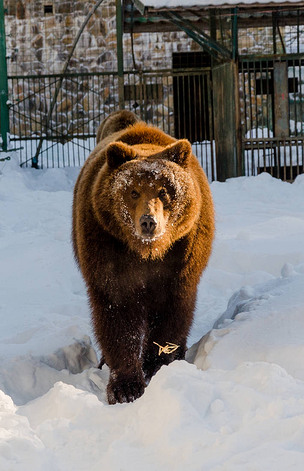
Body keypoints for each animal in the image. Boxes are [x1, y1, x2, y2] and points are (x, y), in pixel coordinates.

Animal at [72, 111, 215, 406]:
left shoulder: (181, 257)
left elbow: (172, 313)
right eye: (133, 191)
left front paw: (159, 364)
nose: (149, 222)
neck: (148, 252)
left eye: (164, 190)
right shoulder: (107, 248)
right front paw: (125, 386)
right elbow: (116, 314)